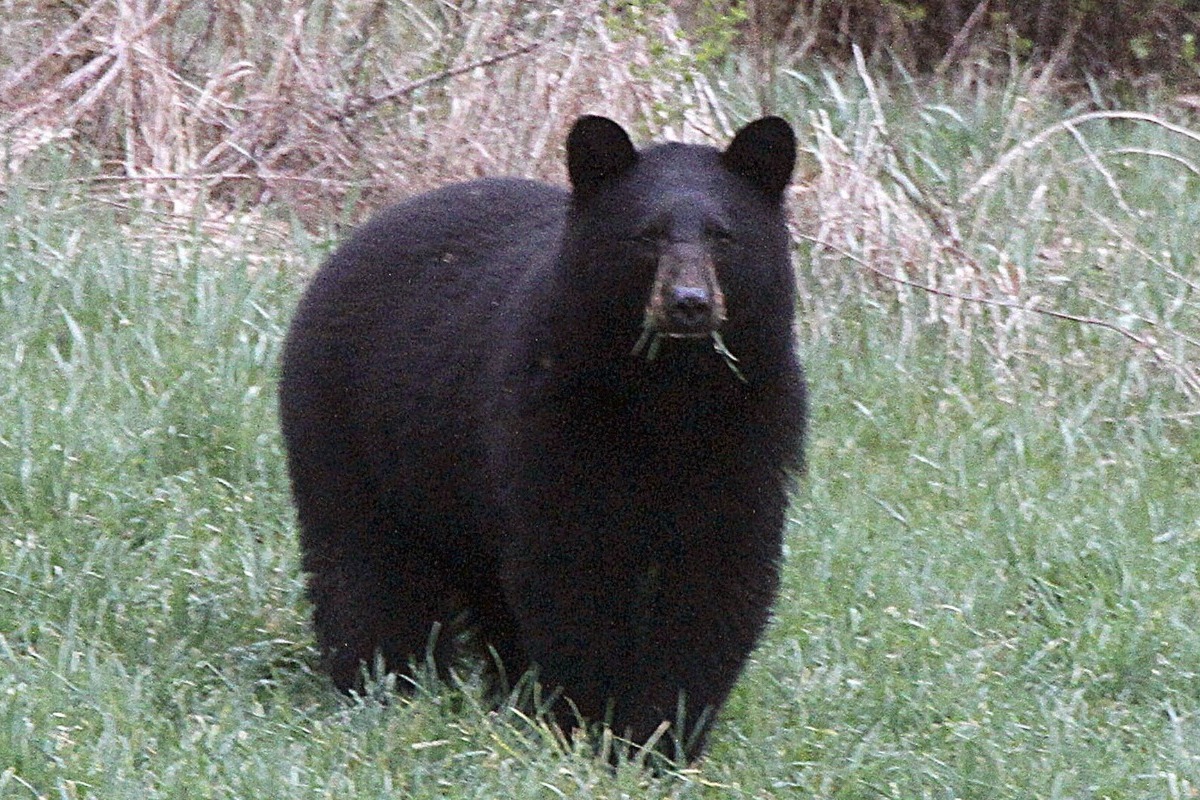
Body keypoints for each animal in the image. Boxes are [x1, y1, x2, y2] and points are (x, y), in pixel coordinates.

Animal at [279, 113, 806, 762]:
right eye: (647, 236)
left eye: (723, 236)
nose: (689, 303)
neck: (667, 396)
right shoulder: (552, 420)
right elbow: (569, 571)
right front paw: (588, 723)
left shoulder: (749, 433)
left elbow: (716, 581)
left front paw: (662, 738)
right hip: (350, 425)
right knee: (364, 563)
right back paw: (384, 680)